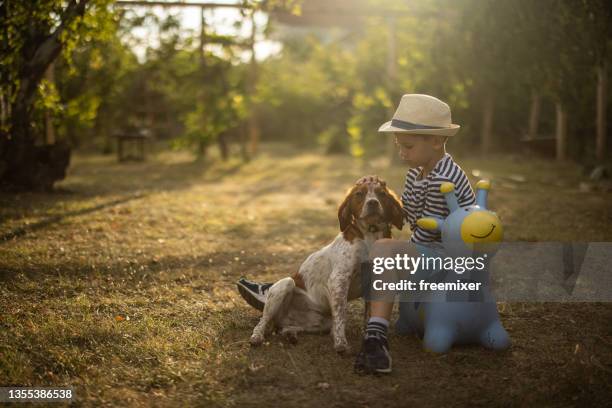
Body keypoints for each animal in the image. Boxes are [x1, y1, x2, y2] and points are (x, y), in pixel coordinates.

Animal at [239, 177, 406, 352]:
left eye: (382, 194)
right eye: (359, 194)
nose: (373, 202)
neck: (370, 237)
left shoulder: (376, 282)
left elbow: (369, 315)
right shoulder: (339, 280)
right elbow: (341, 315)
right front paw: (341, 343)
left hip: (319, 323)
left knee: (286, 328)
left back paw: (290, 334)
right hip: (285, 284)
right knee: (262, 322)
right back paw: (257, 337)